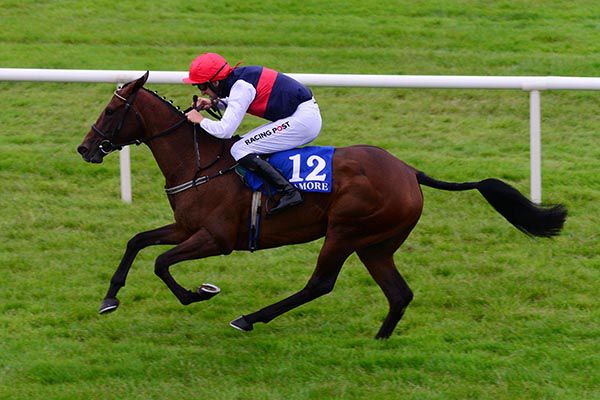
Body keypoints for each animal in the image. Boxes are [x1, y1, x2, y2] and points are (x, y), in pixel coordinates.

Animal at [77, 72, 567, 339]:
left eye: (110, 111)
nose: (84, 149)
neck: (201, 162)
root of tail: (409, 171)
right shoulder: (186, 228)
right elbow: (137, 241)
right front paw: (109, 298)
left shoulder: (216, 238)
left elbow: (160, 263)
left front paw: (200, 293)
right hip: (376, 244)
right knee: (399, 293)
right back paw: (380, 341)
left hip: (346, 232)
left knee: (320, 284)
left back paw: (249, 319)